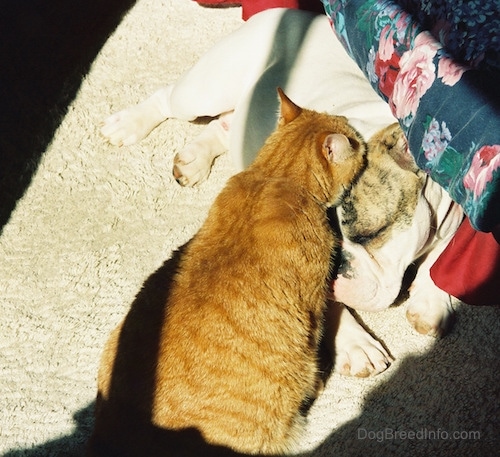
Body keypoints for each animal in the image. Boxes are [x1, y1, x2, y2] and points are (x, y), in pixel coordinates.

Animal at [88, 90, 366, 456]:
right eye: (356, 141)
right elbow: (317, 339)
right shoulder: (313, 303)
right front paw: (317, 380)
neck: (276, 176)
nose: (357, 130)